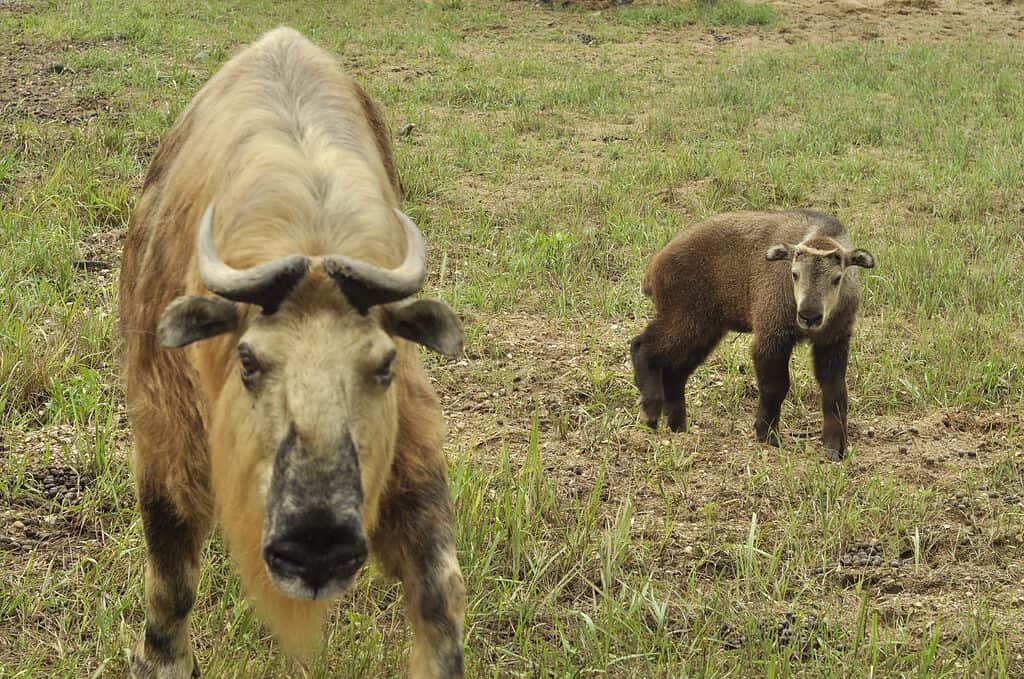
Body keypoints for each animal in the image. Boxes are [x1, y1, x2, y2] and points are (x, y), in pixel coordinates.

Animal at [121, 27, 466, 679]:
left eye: (384, 364)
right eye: (249, 361)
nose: (316, 547)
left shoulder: (411, 448)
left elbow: (440, 594)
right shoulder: (163, 439)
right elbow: (171, 585)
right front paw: (165, 660)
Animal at [626, 209, 876, 458]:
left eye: (836, 278)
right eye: (794, 274)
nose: (809, 316)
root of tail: (654, 267)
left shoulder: (833, 341)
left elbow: (835, 392)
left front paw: (836, 447)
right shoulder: (771, 336)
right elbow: (775, 387)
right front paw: (767, 435)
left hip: (705, 330)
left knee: (674, 372)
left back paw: (678, 426)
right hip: (684, 320)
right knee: (641, 346)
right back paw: (650, 413)